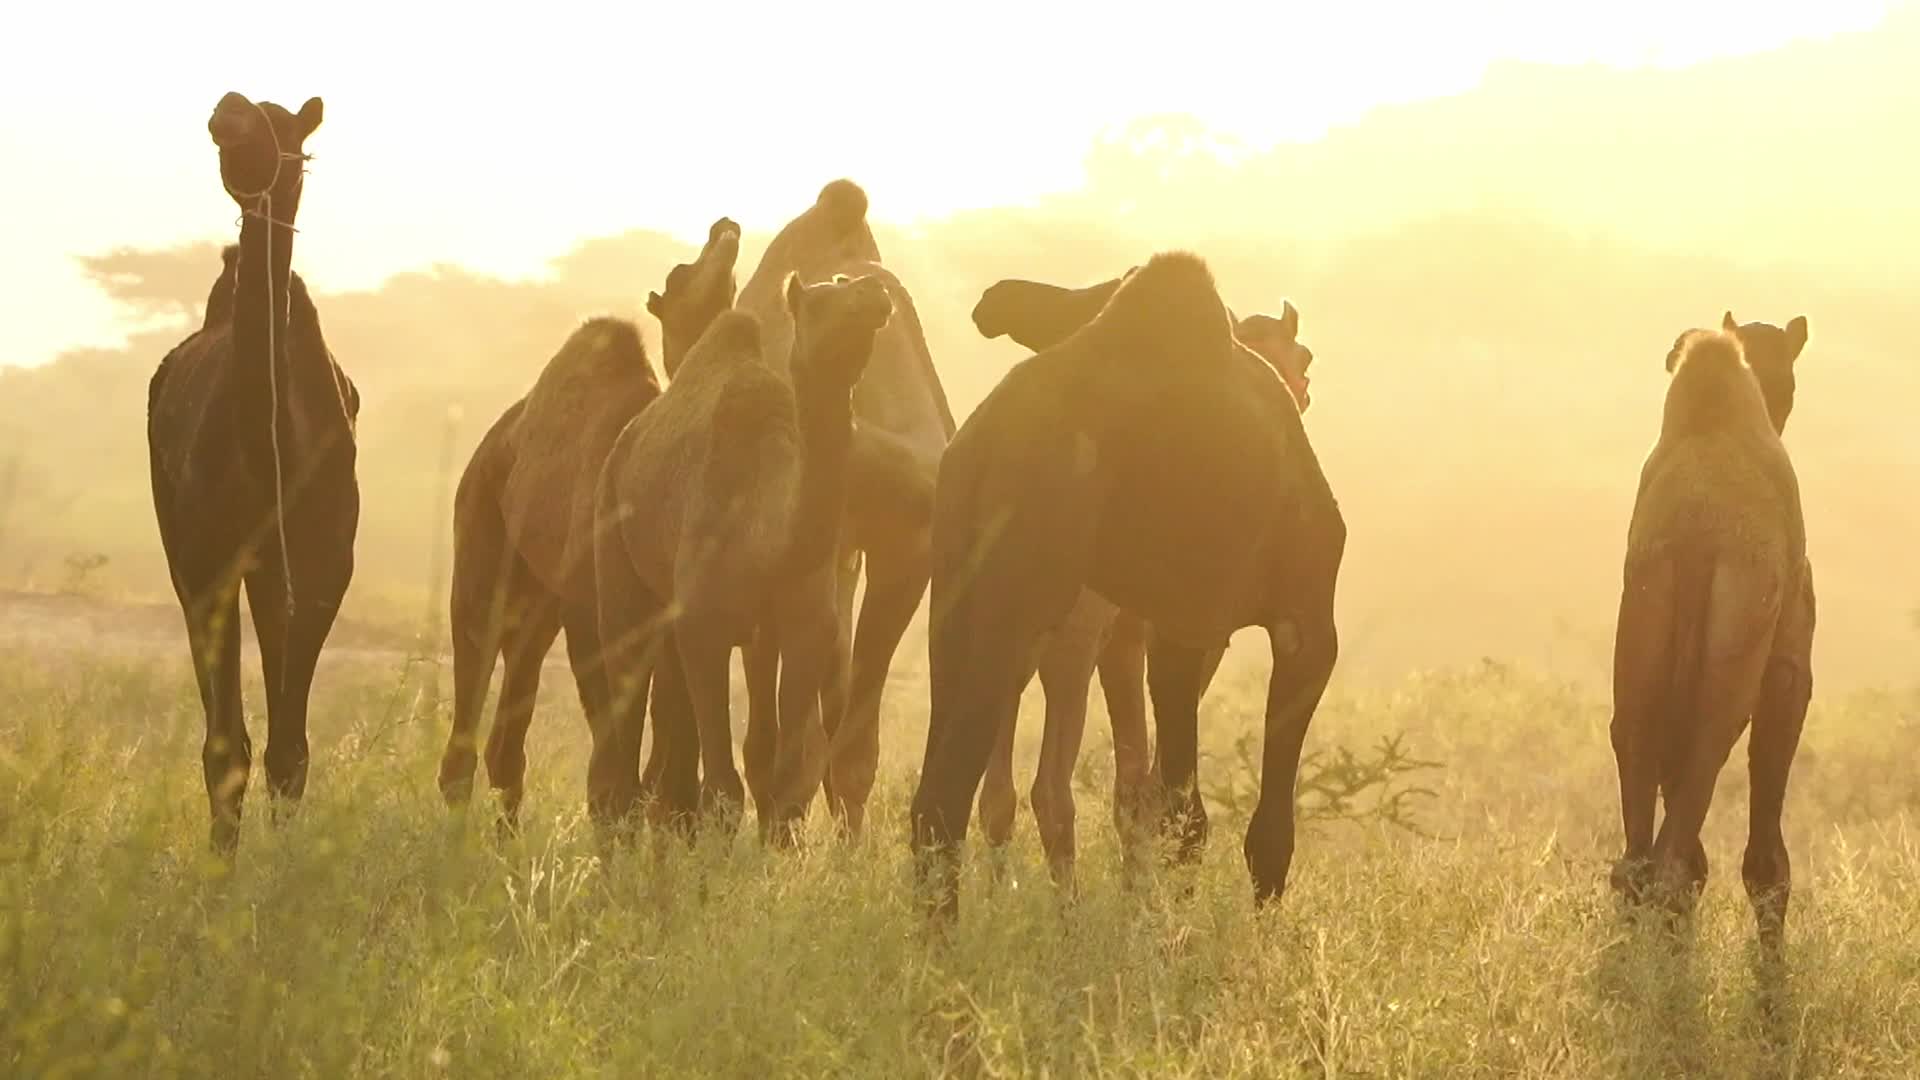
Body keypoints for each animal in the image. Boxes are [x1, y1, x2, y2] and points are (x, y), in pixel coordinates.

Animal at [147, 92, 359, 854]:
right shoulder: (209, 562)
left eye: (286, 130)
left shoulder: (323, 565)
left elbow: (290, 749)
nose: (228, 112)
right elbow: (225, 748)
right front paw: (221, 868)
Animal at [436, 218, 739, 827]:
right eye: (681, 274)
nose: (724, 227)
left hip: (539, 600)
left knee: (509, 739)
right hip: (482, 542)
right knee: (474, 656)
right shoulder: (591, 605)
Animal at [589, 274, 897, 843]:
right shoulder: (704, 626)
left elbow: (789, 776)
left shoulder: (806, 626)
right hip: (614, 547)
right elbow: (724, 789)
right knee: (625, 681)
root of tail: (624, 443)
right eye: (822, 298)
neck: (770, 536)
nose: (873, 291)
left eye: (849, 283)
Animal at [910, 252, 1346, 918]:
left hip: (955, 602)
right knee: (980, 790)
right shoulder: (1289, 618)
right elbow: (1235, 824)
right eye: (1307, 363)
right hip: (1019, 601)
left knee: (941, 800)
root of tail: (980, 447)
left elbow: (1155, 800)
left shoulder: (1161, 631)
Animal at [1609, 311, 1814, 950]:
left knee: (1637, 855)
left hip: (1641, 628)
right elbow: (1767, 860)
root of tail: (1696, 532)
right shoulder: (1790, 666)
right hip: (1732, 660)